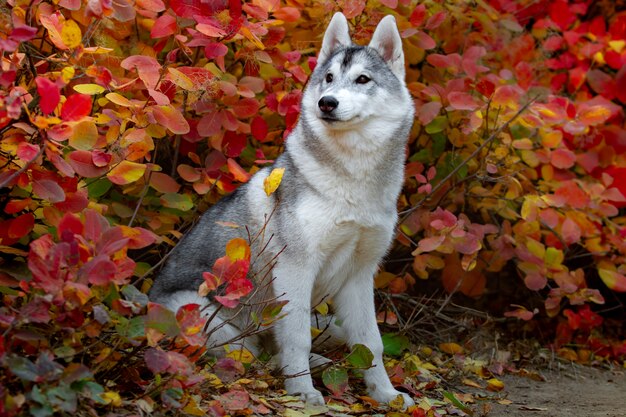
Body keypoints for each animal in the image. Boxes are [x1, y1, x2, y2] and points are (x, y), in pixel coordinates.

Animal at [149, 11, 414, 404]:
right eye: (328, 78)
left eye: (363, 79)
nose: (326, 103)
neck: (353, 177)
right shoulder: (295, 268)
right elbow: (297, 338)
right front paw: (302, 392)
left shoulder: (359, 275)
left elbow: (371, 343)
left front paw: (385, 393)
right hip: (206, 317)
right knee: (250, 352)